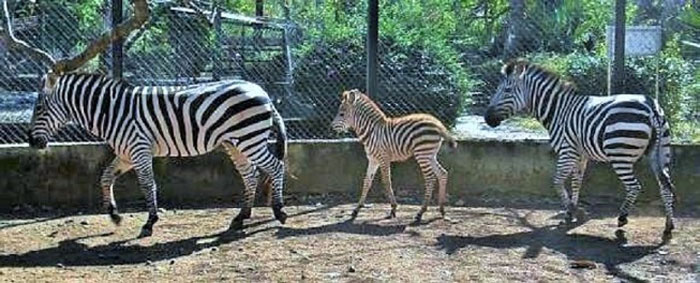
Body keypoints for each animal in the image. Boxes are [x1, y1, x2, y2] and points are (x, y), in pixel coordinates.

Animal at [28, 74, 288, 239]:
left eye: (39, 108)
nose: (31, 142)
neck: (112, 112)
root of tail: (262, 91)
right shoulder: (125, 154)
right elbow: (105, 177)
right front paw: (114, 214)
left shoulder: (139, 149)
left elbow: (147, 184)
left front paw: (149, 222)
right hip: (235, 143)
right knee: (250, 175)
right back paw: (242, 216)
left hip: (249, 138)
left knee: (276, 167)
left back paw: (278, 210)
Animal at [334, 90, 460, 223]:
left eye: (341, 114)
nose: (331, 126)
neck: (372, 131)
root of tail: (437, 123)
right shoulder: (373, 160)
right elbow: (367, 181)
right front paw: (356, 210)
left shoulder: (383, 158)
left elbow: (386, 182)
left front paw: (393, 209)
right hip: (430, 155)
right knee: (442, 173)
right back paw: (441, 209)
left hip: (422, 154)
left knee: (430, 178)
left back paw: (421, 212)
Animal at [484, 60, 676, 237]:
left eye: (507, 90)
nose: (487, 118)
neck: (558, 111)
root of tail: (651, 106)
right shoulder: (581, 155)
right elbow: (576, 182)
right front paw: (574, 210)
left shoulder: (567, 151)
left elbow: (557, 181)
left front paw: (571, 210)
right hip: (660, 152)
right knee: (666, 186)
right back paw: (668, 225)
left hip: (620, 154)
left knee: (634, 186)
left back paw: (622, 217)